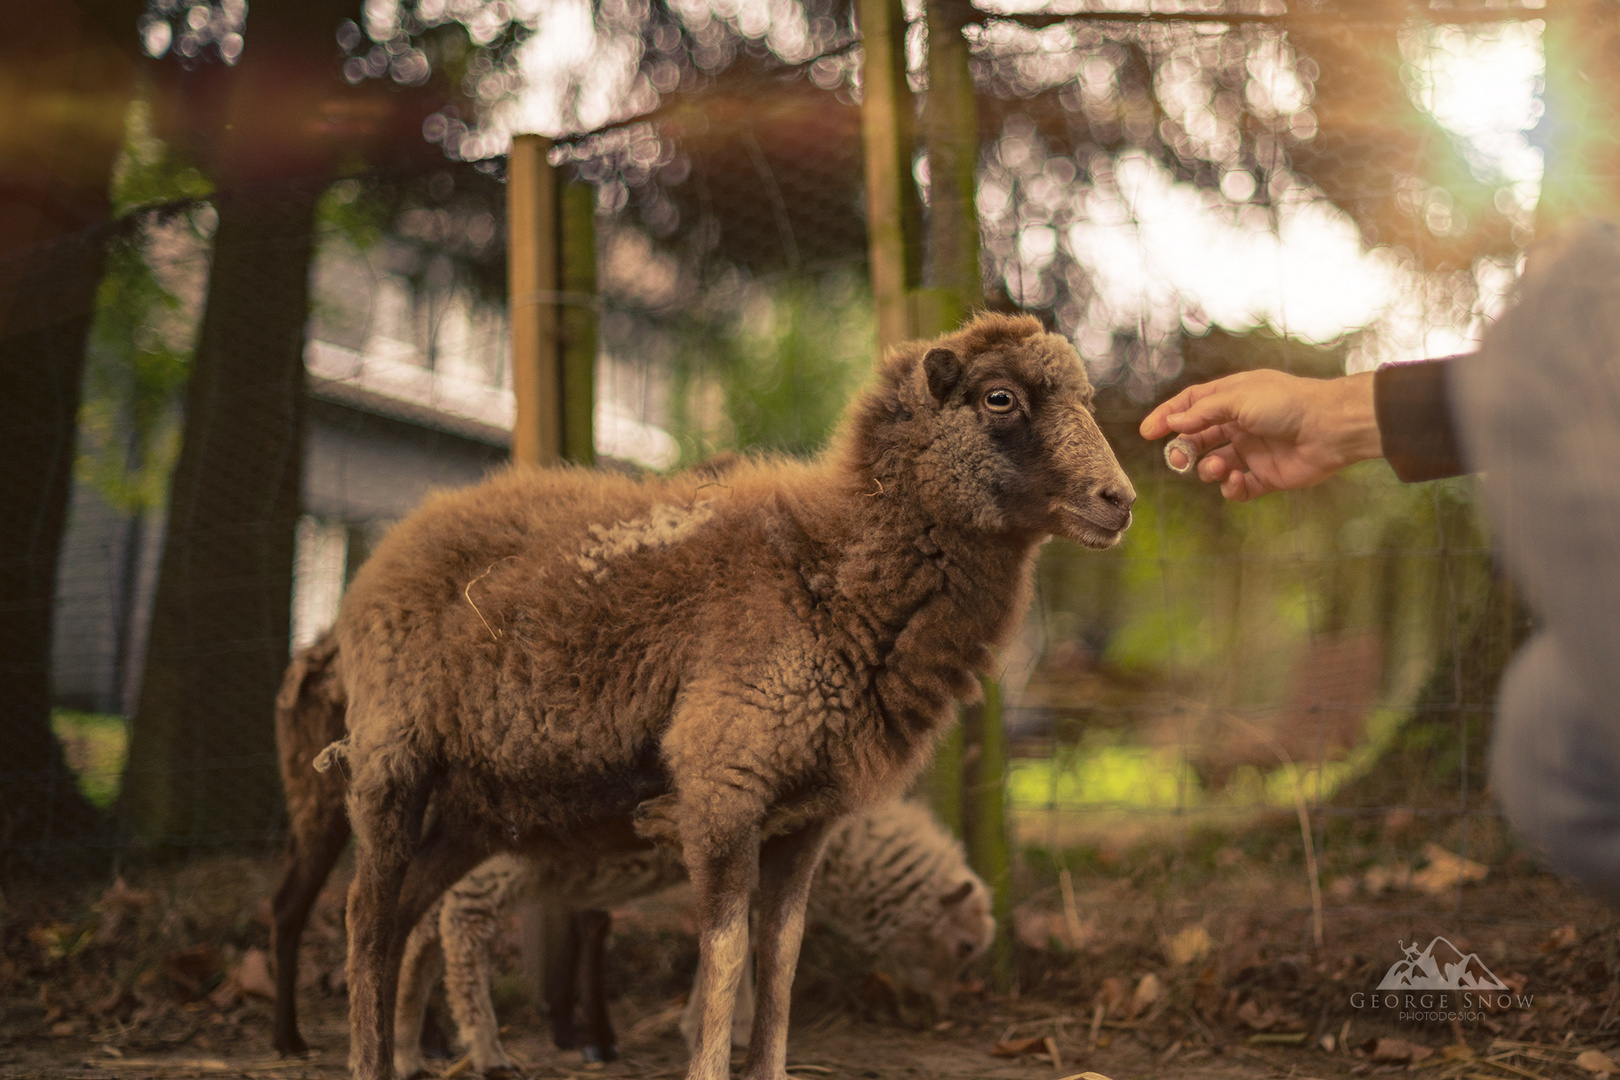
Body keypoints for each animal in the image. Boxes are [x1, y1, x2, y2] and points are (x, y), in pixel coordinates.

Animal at [328, 312, 1134, 1080]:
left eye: (1086, 402)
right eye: (1000, 398)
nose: (1119, 500)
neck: (835, 570)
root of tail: (403, 533)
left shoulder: (806, 819)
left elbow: (779, 957)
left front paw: (769, 1065)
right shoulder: (722, 786)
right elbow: (723, 954)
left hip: (477, 804)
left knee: (405, 915)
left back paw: (401, 1053)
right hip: (392, 758)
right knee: (366, 916)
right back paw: (372, 1059)